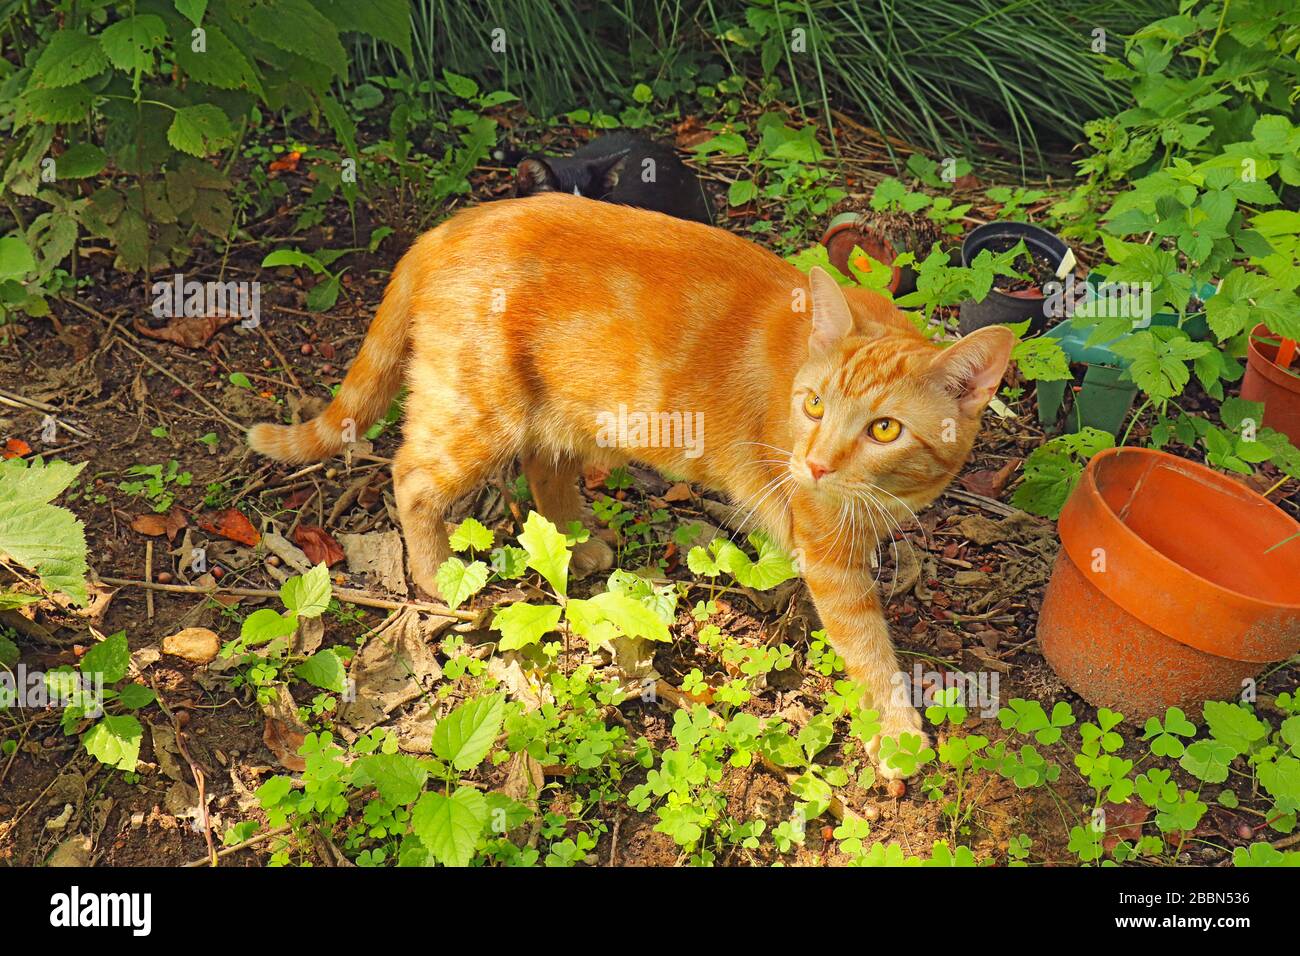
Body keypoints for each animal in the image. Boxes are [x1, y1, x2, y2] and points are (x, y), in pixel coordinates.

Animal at [248, 195, 1008, 780]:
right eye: (815, 406)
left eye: (884, 429)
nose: (816, 465)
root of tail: (453, 223)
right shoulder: (829, 550)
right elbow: (869, 647)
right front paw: (897, 735)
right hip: (477, 413)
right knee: (411, 476)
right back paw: (437, 578)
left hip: (559, 409)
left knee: (543, 466)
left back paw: (575, 544)